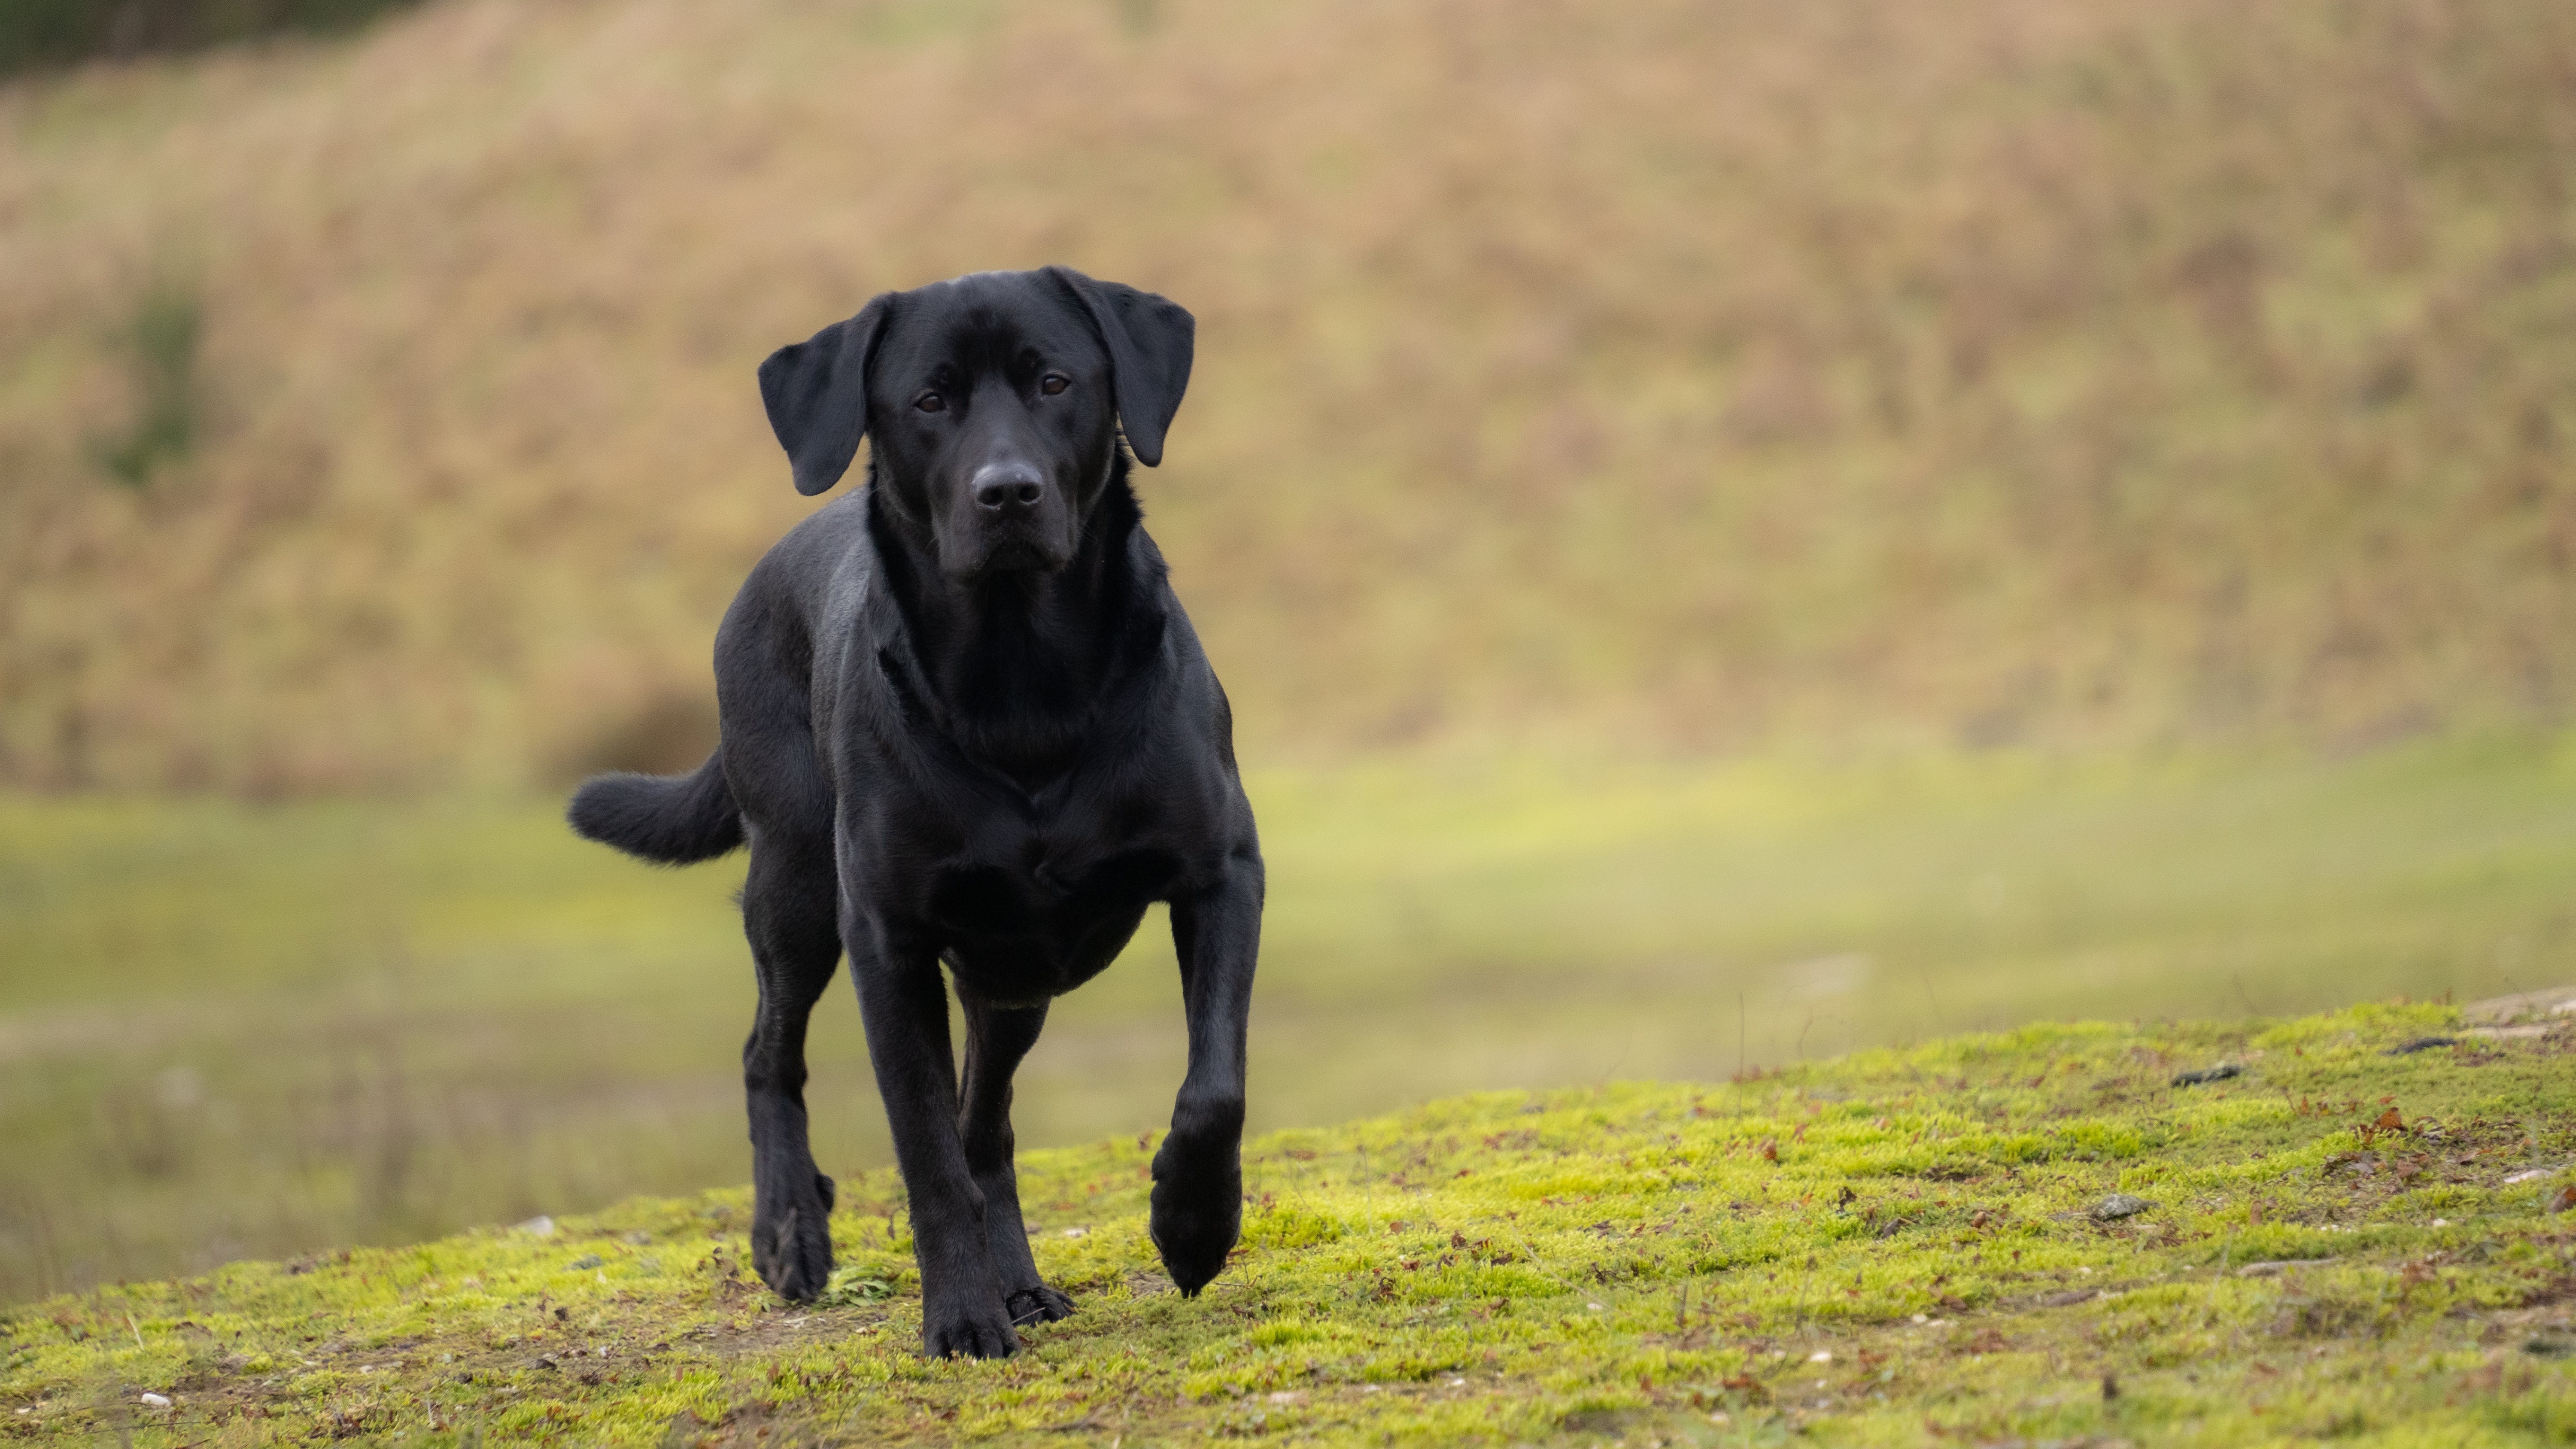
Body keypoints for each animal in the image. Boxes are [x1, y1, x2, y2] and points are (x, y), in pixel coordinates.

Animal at [580, 268, 1273, 1351]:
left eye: (1054, 381)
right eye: (930, 400)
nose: (1007, 492)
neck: (1022, 678)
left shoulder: (1222, 872)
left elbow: (1213, 1087)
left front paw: (1193, 1226)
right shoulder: (886, 940)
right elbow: (925, 1153)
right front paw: (958, 1316)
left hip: (1011, 980)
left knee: (988, 1124)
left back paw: (1020, 1280)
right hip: (796, 891)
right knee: (769, 1054)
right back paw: (792, 1228)